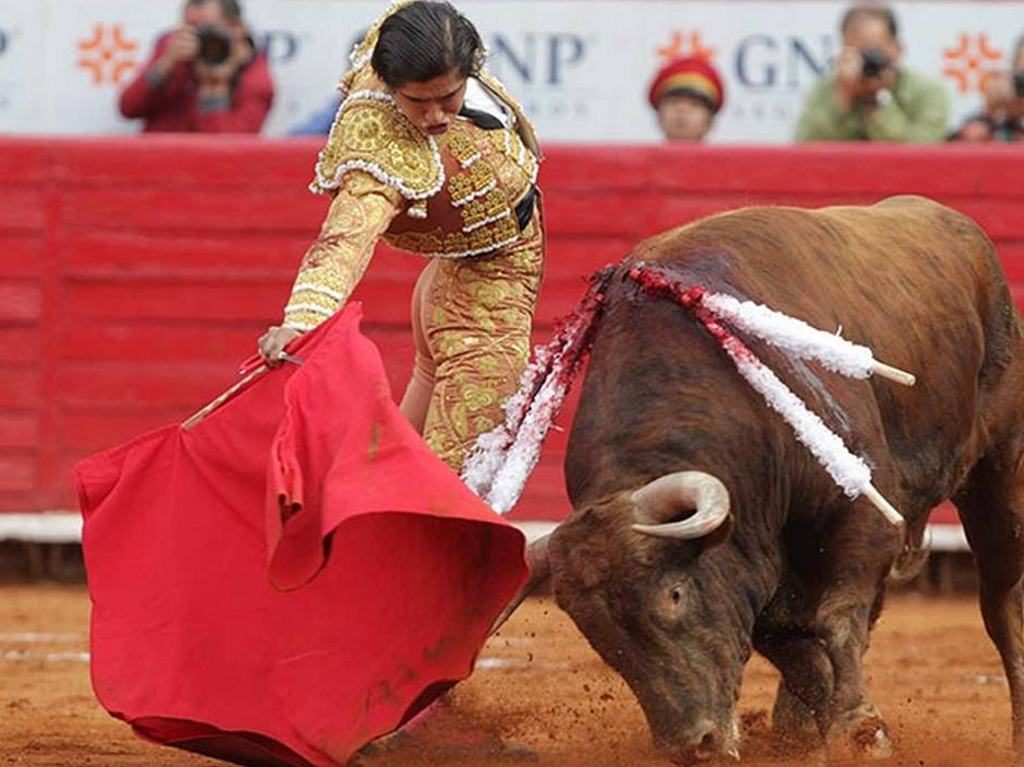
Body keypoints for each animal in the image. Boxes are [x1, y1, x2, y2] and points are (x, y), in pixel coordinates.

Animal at [524, 195, 1024, 761]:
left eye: (674, 594)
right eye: (597, 635)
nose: (695, 746)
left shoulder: (863, 515)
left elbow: (837, 618)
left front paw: (861, 730)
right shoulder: (757, 562)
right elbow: (793, 646)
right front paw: (828, 726)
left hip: (997, 473)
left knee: (1000, 601)